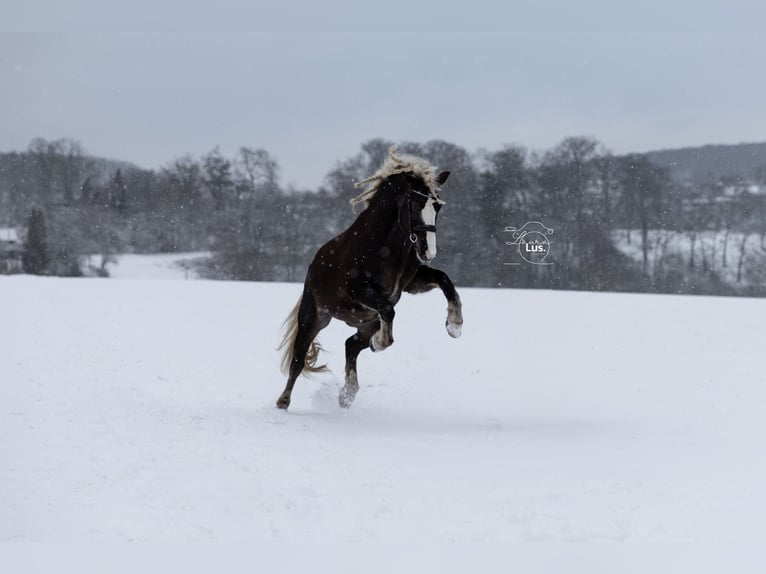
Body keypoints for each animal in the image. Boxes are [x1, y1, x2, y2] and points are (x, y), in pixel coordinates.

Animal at [276, 146, 463, 409]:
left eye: (437, 206)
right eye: (414, 203)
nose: (429, 252)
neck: (385, 247)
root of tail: (314, 265)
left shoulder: (410, 283)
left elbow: (445, 280)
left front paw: (455, 325)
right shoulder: (359, 292)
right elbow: (389, 310)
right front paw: (381, 342)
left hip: (366, 323)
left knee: (351, 344)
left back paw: (347, 394)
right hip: (315, 316)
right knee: (298, 358)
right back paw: (283, 401)